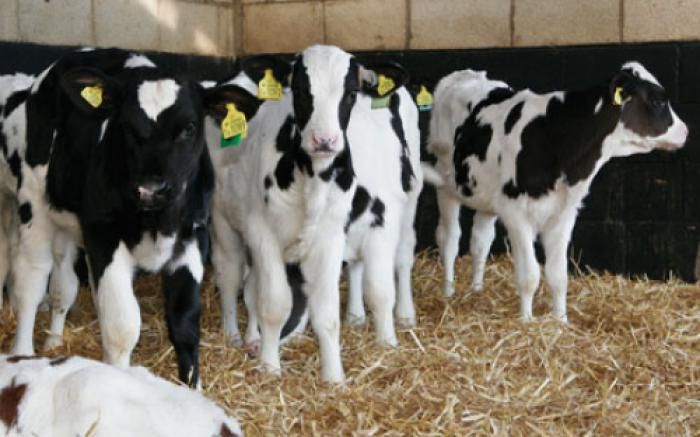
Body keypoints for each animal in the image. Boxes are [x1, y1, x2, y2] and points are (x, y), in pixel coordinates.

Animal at [0, 48, 260, 387]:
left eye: (189, 127)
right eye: (125, 125)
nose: (151, 188)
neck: (156, 220)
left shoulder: (192, 237)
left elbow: (185, 324)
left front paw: (193, 390)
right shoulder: (105, 236)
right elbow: (122, 326)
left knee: (65, 285)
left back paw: (55, 340)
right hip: (34, 207)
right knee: (31, 281)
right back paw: (23, 351)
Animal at [207, 45, 421, 383]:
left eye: (351, 91)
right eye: (298, 89)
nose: (324, 140)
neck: (313, 181)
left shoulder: (352, 230)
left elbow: (363, 297)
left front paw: (360, 360)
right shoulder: (262, 233)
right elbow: (272, 303)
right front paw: (269, 365)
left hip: (410, 199)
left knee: (400, 257)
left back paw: (398, 314)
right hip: (223, 220)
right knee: (230, 276)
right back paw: (236, 336)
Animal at [425, 62, 688, 322]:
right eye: (657, 100)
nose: (685, 131)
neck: (555, 136)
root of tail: (465, 74)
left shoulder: (563, 213)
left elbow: (558, 275)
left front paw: (561, 321)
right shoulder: (516, 214)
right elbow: (530, 275)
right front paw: (527, 322)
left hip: (486, 196)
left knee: (480, 241)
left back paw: (476, 290)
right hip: (445, 182)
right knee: (449, 238)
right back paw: (448, 292)